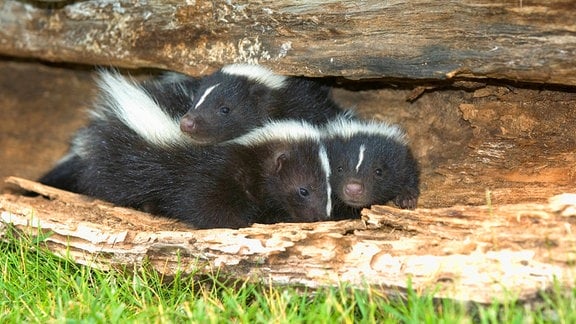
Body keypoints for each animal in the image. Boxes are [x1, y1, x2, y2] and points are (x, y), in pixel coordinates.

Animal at [38, 71, 330, 229]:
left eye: (329, 185)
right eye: (303, 190)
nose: (321, 217)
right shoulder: (208, 174)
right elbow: (208, 207)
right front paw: (242, 223)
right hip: (121, 160)